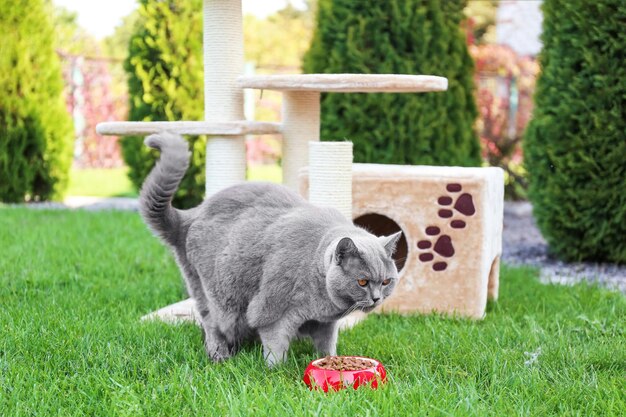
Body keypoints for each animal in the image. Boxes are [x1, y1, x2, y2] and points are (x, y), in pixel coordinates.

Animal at [140, 132, 400, 364]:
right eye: (362, 282)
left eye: (386, 281)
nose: (377, 298)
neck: (323, 299)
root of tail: (190, 215)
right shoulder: (272, 310)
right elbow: (275, 344)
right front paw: (276, 372)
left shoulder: (325, 322)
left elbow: (327, 343)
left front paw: (331, 360)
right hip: (218, 296)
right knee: (211, 323)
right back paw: (220, 355)